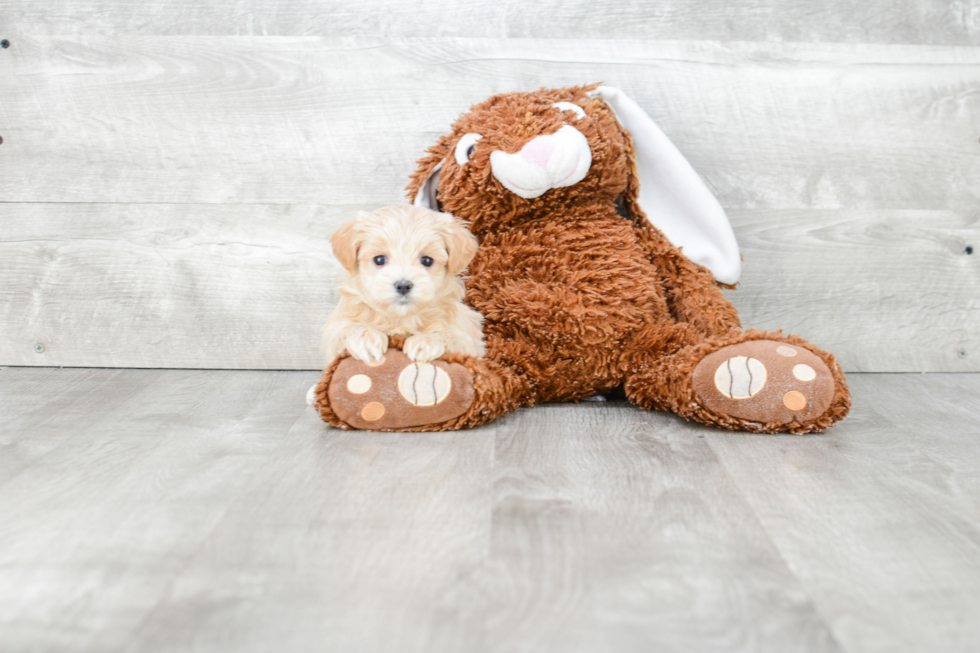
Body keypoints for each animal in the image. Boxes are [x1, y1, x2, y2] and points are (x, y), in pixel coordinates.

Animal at [322, 205, 486, 366]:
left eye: (427, 261)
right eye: (379, 259)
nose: (403, 286)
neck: (402, 318)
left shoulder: (468, 342)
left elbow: (449, 336)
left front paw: (425, 342)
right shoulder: (334, 330)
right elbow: (348, 329)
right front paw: (365, 339)